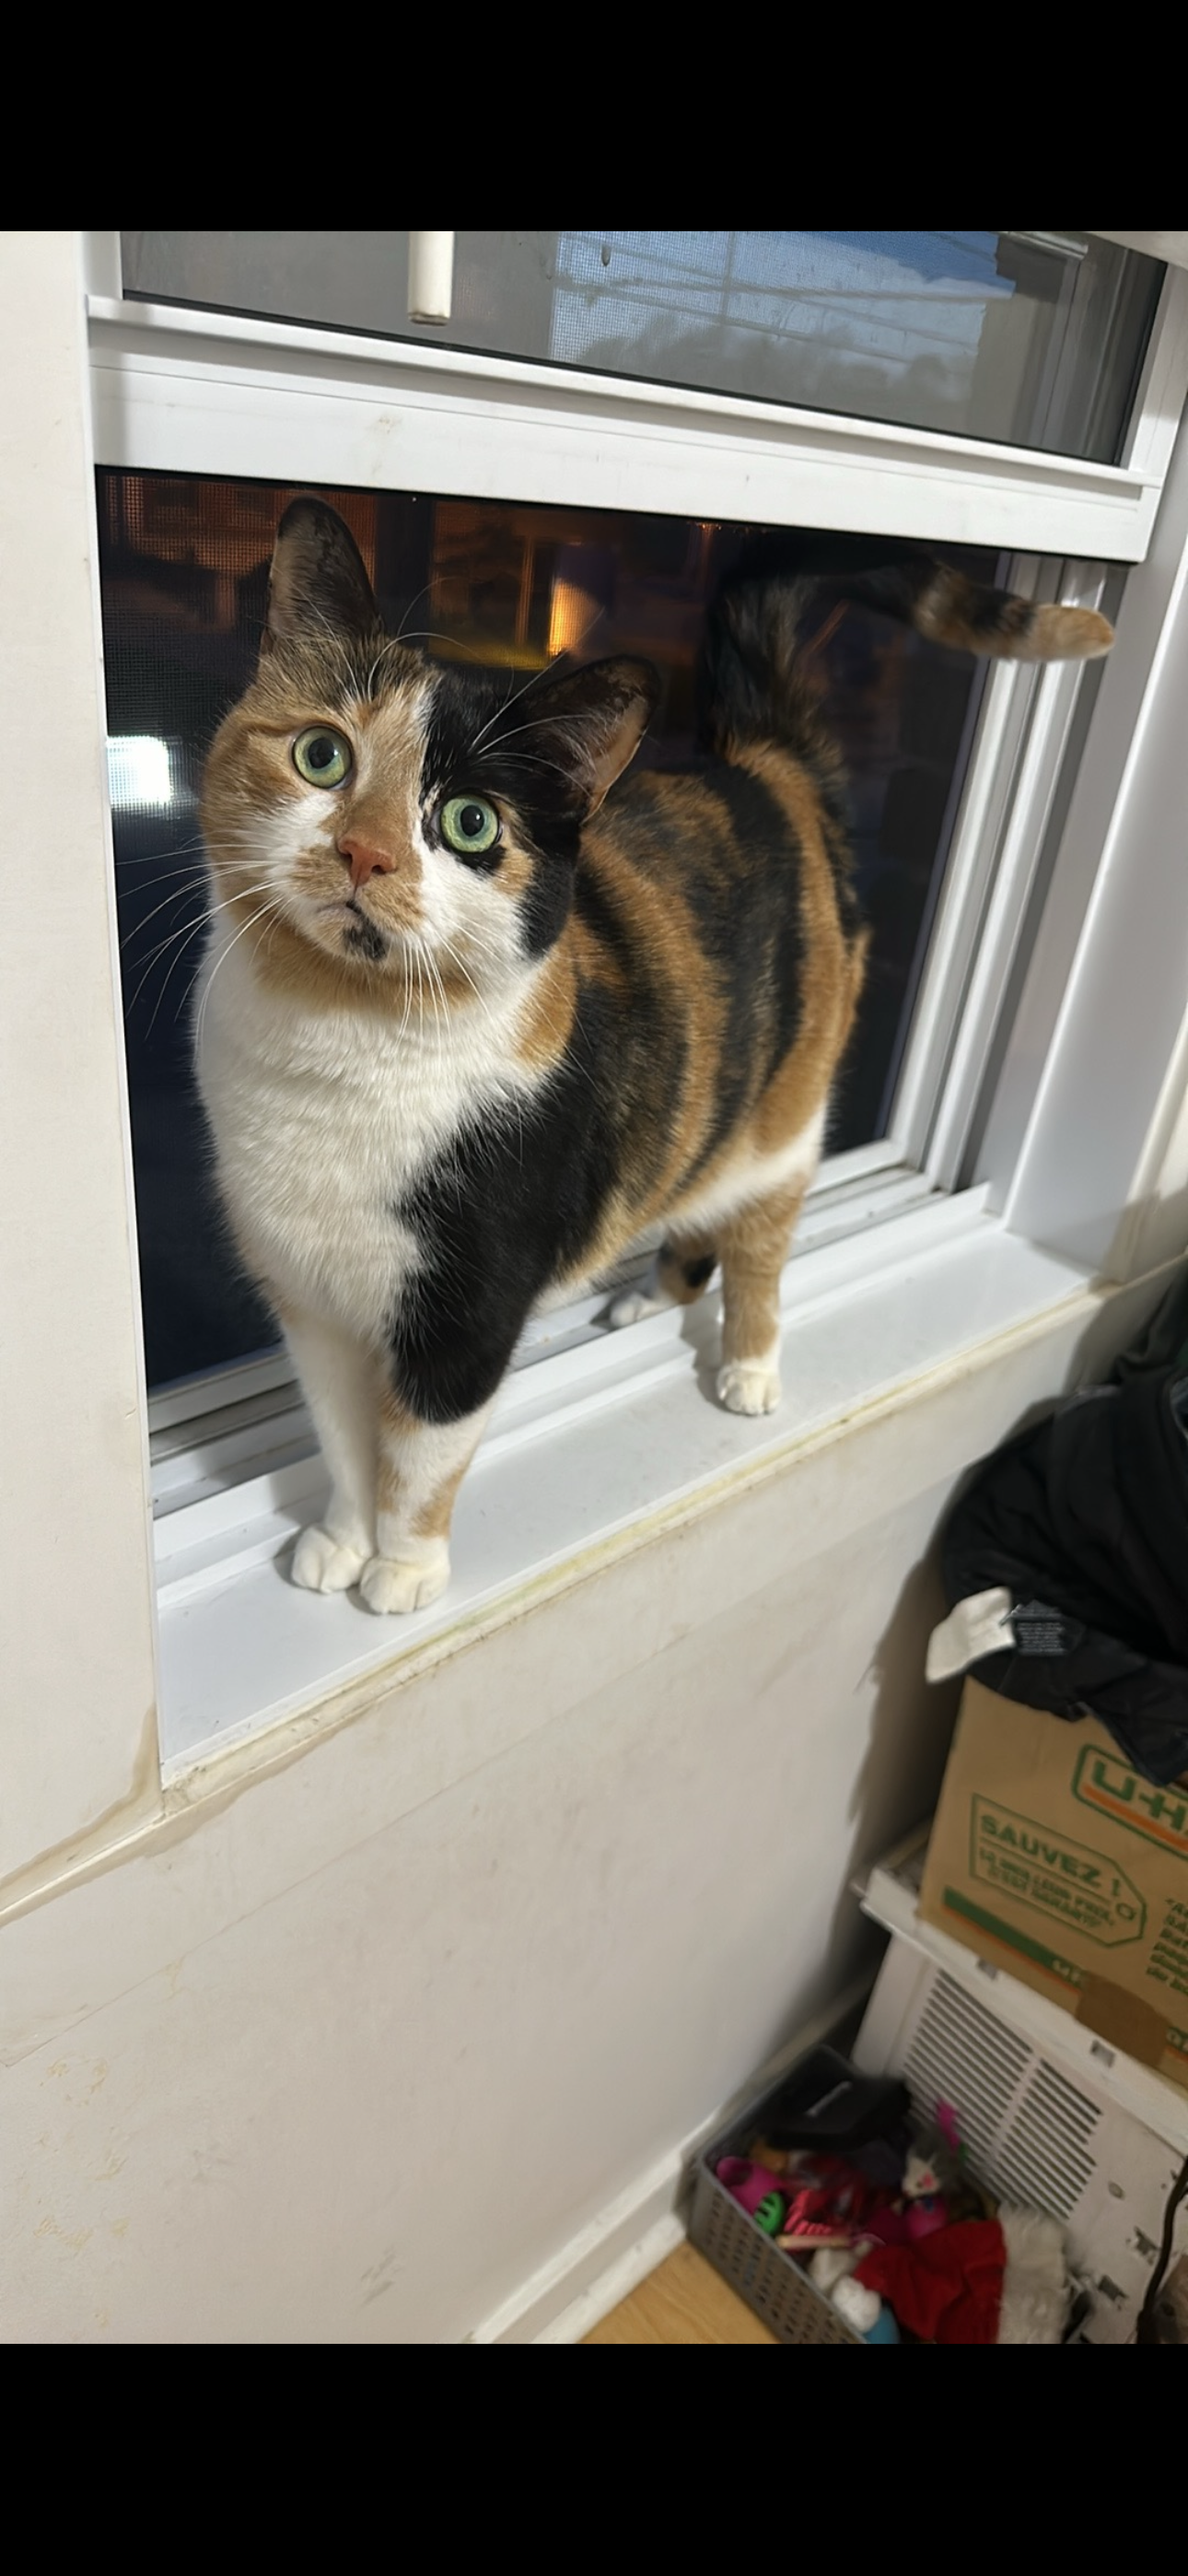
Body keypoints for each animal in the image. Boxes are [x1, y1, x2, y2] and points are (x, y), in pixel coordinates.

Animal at [198, 501, 1111, 1614]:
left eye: (469, 823)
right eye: (322, 757)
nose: (365, 853)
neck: (338, 1042)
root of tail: (763, 760)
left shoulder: (466, 1315)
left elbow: (418, 1458)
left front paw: (401, 1570)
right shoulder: (311, 1306)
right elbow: (337, 1438)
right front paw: (337, 1538)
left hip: (785, 1113)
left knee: (761, 1236)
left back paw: (750, 1366)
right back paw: (645, 1296)